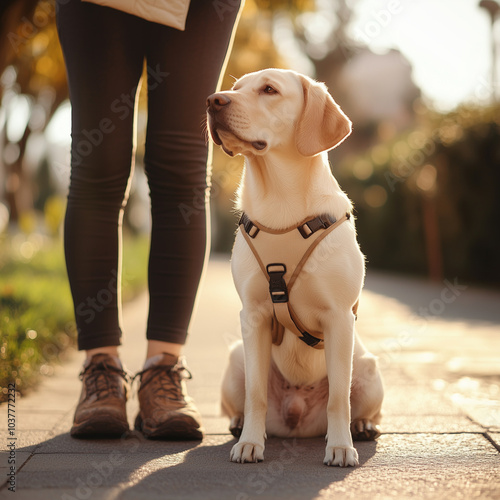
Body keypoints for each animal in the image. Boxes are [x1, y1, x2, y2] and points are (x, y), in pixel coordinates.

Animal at [206, 68, 382, 466]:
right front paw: (250, 443)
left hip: (367, 367)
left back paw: (362, 427)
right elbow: (256, 394)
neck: (280, 203)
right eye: (235, 88)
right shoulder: (253, 316)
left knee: (359, 405)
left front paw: (340, 447)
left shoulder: (339, 318)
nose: (212, 100)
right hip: (236, 360)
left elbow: (339, 399)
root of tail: (297, 421)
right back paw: (240, 426)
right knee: (242, 400)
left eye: (269, 90)